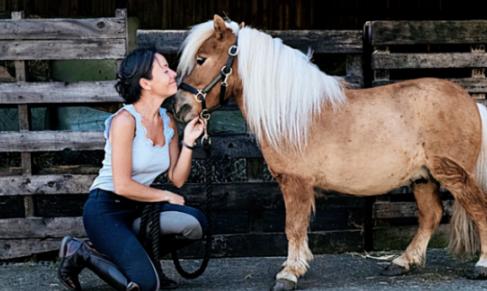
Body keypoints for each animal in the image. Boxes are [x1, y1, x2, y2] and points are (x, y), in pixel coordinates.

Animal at [174, 16, 487, 291]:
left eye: (201, 59)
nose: (179, 107)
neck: (293, 113)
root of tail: (471, 102)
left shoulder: (296, 182)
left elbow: (293, 227)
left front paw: (289, 273)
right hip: (423, 177)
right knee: (431, 215)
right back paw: (402, 262)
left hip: (455, 175)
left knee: (479, 209)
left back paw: (481, 265)